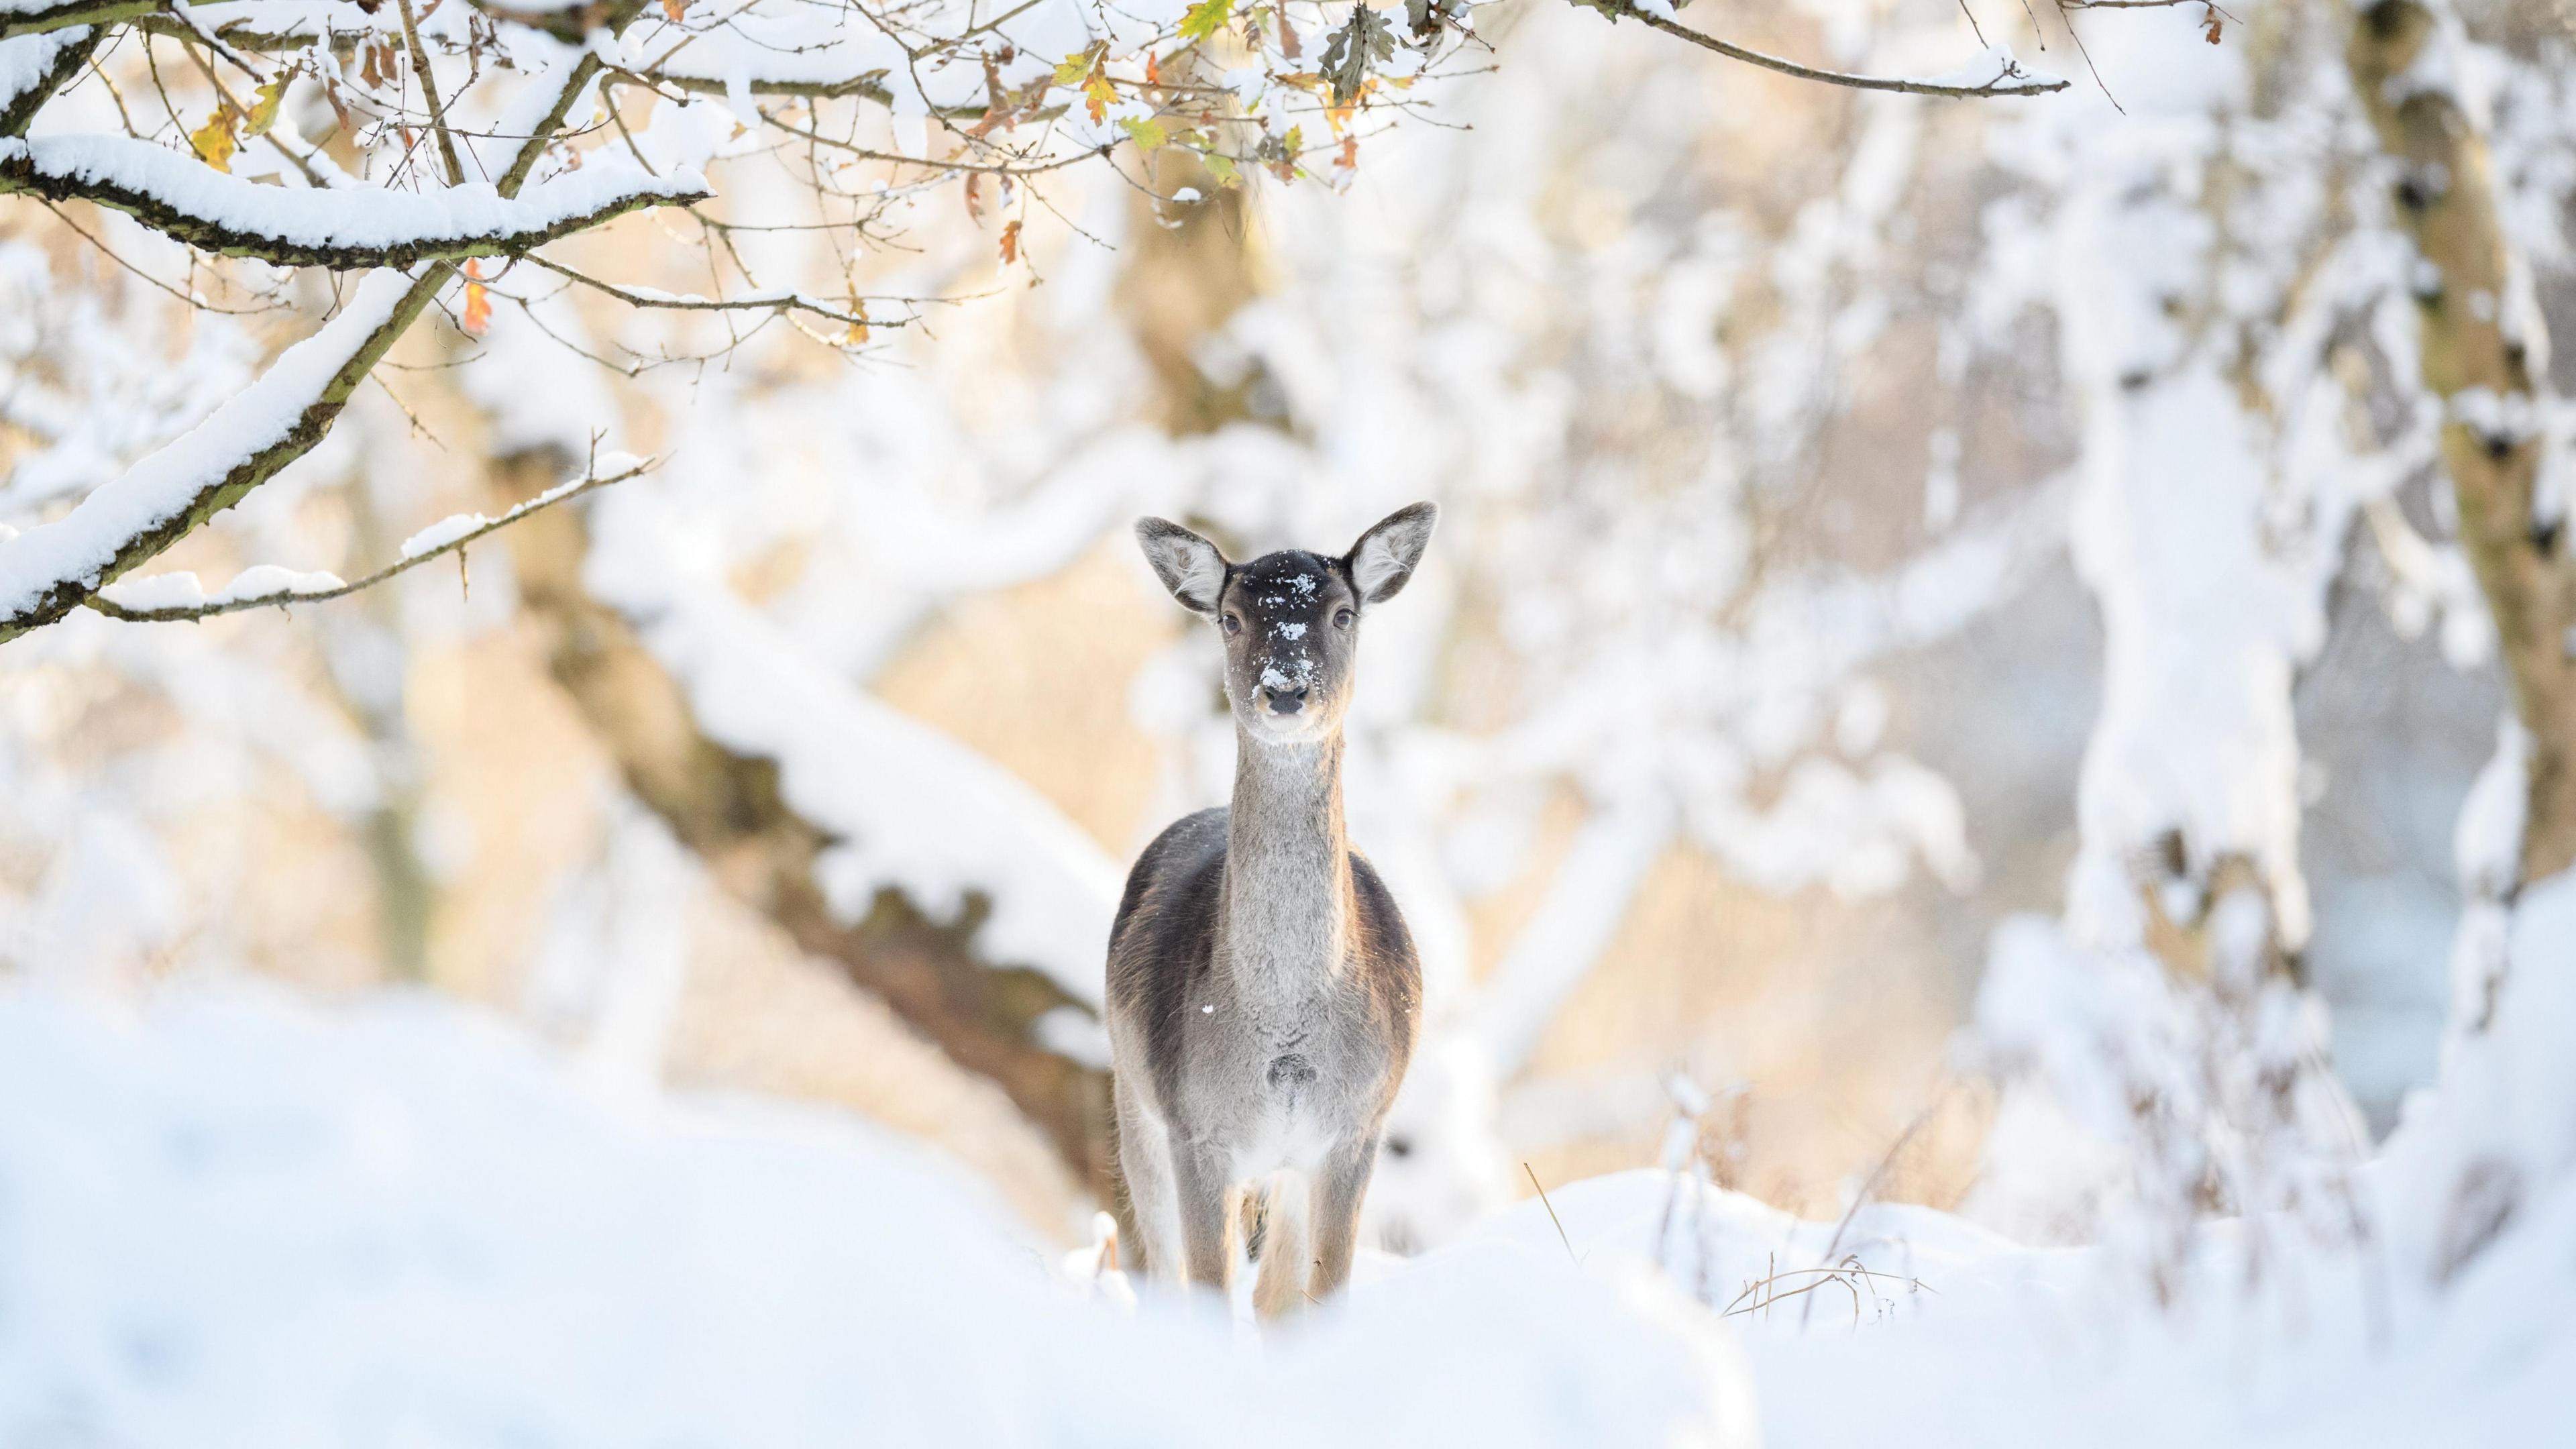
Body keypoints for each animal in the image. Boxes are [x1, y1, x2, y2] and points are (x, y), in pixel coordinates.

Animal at [1107, 503, 1438, 1314]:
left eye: (1343, 613)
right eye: (1231, 618)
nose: (1286, 690)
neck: (1286, 1041)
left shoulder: (1356, 1131)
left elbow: (1317, 1298)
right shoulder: (1196, 1128)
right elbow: (1206, 1294)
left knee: (1275, 1294)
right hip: (1131, 1101)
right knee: (1161, 1268)